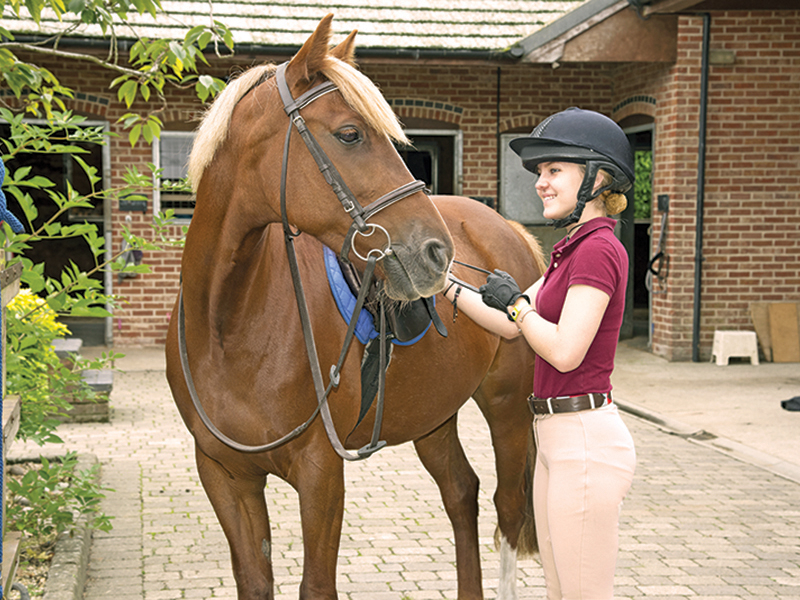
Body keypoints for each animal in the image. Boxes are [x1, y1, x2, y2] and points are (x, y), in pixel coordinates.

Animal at [165, 15, 547, 600]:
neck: (230, 326)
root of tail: (505, 229)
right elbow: (254, 580)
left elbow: (316, 585)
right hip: (434, 415)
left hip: (506, 407)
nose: (437, 253)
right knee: (461, 493)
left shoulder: (321, 473)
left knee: (506, 510)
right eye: (350, 134)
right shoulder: (224, 475)